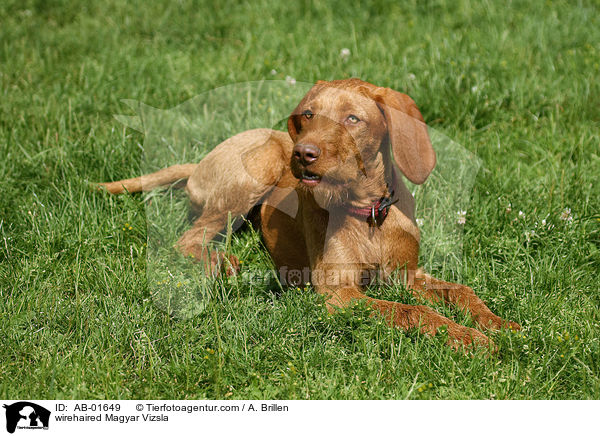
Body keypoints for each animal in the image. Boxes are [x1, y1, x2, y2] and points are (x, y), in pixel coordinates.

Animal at [101, 78, 516, 350]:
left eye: (352, 119)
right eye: (308, 115)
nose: (302, 153)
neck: (369, 213)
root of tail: (200, 161)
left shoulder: (407, 274)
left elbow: (461, 291)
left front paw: (498, 324)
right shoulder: (338, 292)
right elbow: (412, 312)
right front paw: (467, 337)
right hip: (260, 163)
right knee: (190, 237)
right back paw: (221, 263)